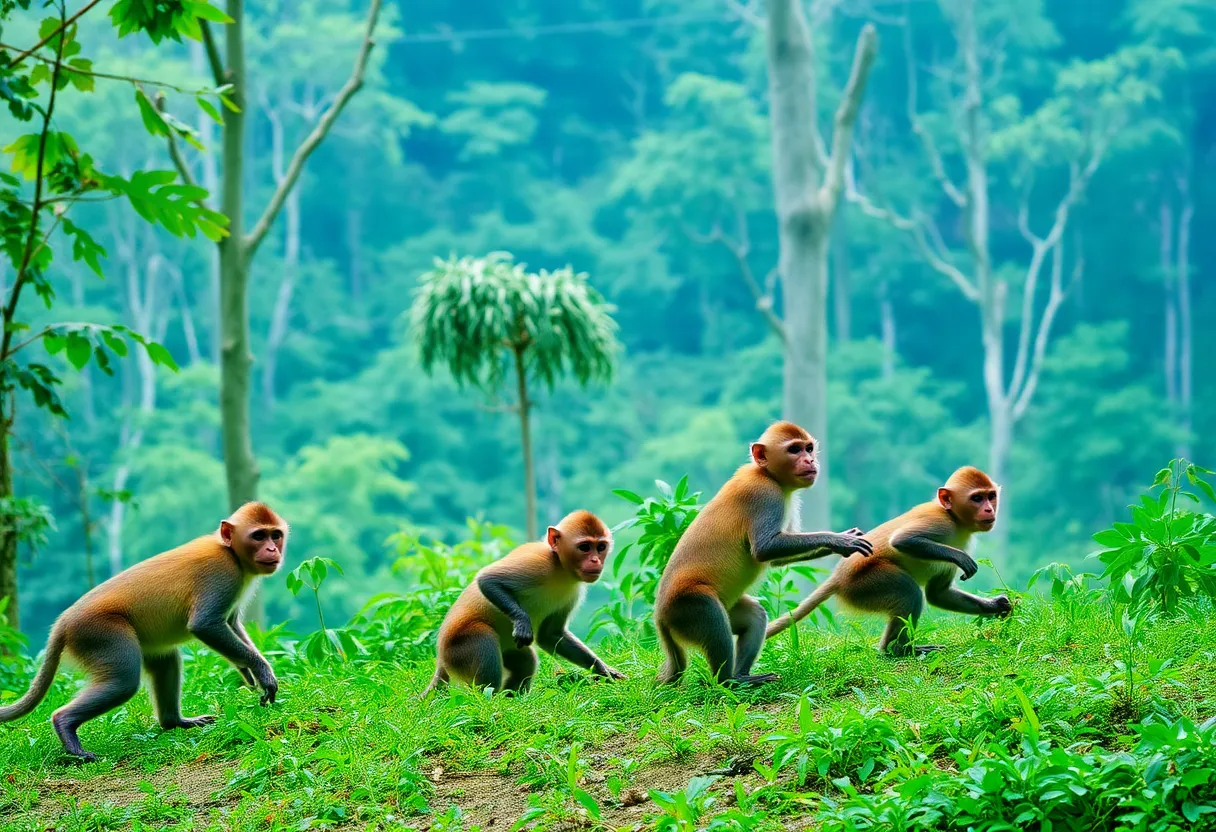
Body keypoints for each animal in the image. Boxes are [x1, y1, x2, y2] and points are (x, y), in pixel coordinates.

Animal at [0, 501, 286, 759]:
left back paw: (174, 722)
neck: (231, 552)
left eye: (275, 535)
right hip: (99, 633)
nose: (272, 548)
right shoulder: (223, 574)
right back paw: (66, 727)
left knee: (166, 661)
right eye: (258, 536)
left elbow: (231, 623)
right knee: (123, 682)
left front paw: (247, 670)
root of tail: (63, 622)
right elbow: (205, 624)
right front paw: (261, 671)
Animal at [425, 506, 622, 695]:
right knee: (485, 639)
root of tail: (441, 659)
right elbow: (488, 580)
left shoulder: (574, 592)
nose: (595, 560)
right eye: (585, 547)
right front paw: (522, 621)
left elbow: (550, 635)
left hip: (505, 648)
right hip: (460, 648)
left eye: (601, 547)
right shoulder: (537, 562)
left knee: (526, 661)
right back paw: (489, 700)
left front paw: (604, 671)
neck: (560, 567)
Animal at [656, 423, 875, 690]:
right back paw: (730, 681)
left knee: (754, 615)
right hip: (688, 607)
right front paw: (838, 539)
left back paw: (742, 676)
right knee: (714, 619)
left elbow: (775, 559)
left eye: (808, 448)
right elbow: (764, 549)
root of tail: (660, 618)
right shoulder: (765, 495)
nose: (810, 460)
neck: (766, 474)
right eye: (794, 450)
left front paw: (843, 544)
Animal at [763, 464, 1011, 651]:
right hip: (865, 584)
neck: (955, 520)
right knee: (908, 592)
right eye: (977, 498)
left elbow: (938, 594)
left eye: (991, 497)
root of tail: (838, 576)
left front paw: (997, 606)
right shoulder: (941, 522)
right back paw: (900, 650)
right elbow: (903, 540)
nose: (989, 510)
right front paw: (960, 558)